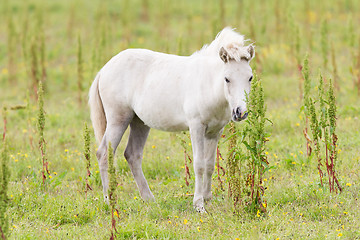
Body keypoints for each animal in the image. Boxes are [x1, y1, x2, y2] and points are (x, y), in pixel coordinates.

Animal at [88, 27, 255, 213]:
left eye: (250, 77)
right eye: (227, 78)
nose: (240, 112)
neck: (208, 84)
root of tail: (104, 69)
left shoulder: (214, 132)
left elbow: (210, 165)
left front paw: (208, 198)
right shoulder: (196, 127)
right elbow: (199, 164)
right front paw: (199, 205)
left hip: (139, 122)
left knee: (132, 155)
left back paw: (149, 199)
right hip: (118, 119)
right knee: (104, 153)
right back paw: (109, 202)